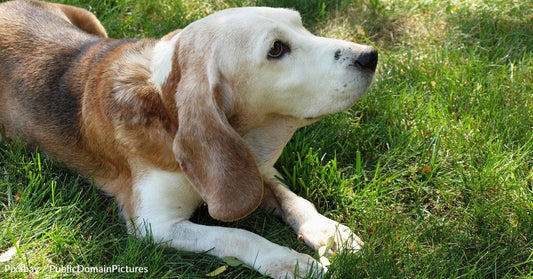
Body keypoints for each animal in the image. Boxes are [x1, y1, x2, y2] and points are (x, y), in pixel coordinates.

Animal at [0, 1, 376, 278]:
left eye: (301, 25)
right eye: (276, 49)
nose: (370, 55)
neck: (167, 109)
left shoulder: (254, 167)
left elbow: (293, 200)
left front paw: (329, 232)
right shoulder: (156, 225)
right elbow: (235, 234)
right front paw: (288, 260)